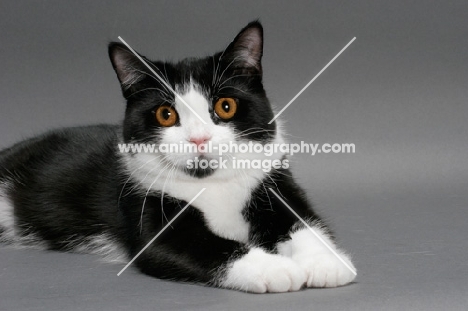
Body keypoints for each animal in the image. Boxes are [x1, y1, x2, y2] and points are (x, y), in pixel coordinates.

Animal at [0, 21, 356, 292]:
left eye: (226, 106)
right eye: (165, 114)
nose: (198, 138)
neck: (213, 185)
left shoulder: (271, 180)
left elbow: (303, 220)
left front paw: (325, 262)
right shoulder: (144, 202)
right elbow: (207, 246)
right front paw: (276, 269)